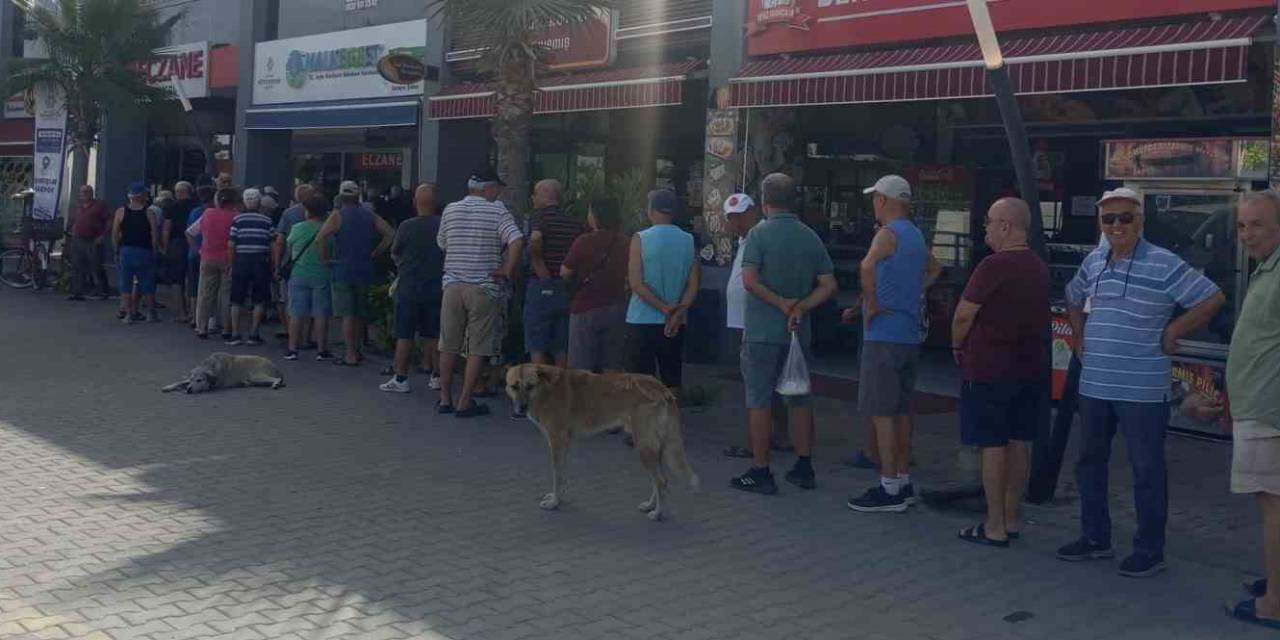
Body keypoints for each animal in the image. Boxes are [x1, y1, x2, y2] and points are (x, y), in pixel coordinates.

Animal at [504, 366, 701, 519]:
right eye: (514, 386)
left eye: (530, 386)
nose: (521, 408)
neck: (546, 389)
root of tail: (662, 389)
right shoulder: (564, 445)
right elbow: (562, 476)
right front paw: (558, 498)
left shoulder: (557, 442)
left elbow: (557, 476)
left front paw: (554, 503)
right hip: (653, 449)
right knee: (660, 481)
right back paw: (650, 506)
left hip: (644, 447)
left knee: (660, 482)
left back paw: (658, 513)